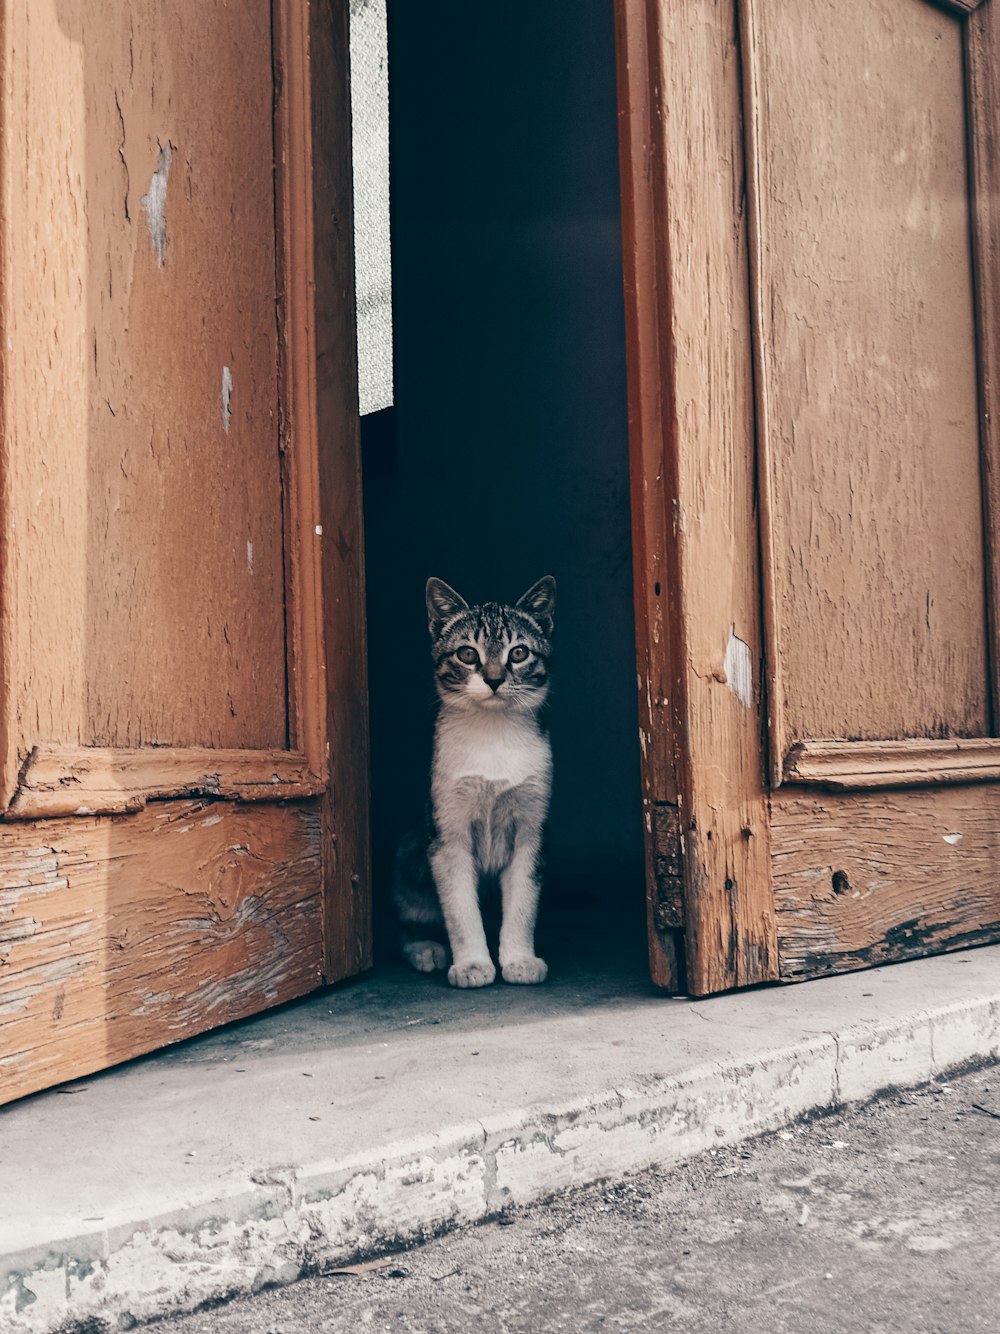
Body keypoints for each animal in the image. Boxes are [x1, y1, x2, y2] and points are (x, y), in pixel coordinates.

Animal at [394, 578, 557, 987]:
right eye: (468, 653)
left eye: (519, 653)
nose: (495, 679)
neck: (492, 733)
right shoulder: (447, 833)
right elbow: (460, 909)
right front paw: (471, 964)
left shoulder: (532, 829)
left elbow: (523, 902)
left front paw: (519, 959)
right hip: (410, 850)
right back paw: (425, 948)